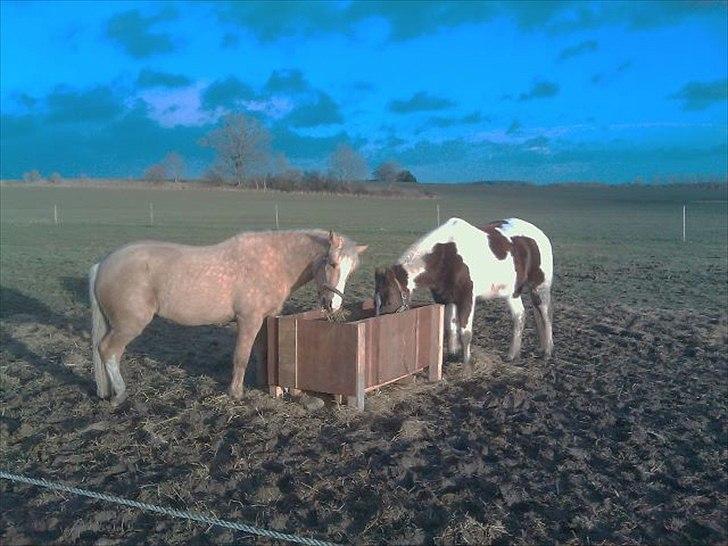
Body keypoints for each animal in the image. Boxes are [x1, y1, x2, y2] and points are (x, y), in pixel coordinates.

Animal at [88, 228, 366, 404]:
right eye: (332, 263)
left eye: (351, 271)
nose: (333, 305)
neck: (273, 261)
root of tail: (102, 265)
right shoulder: (248, 320)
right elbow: (241, 357)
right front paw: (236, 393)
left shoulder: (264, 319)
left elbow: (264, 353)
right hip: (128, 325)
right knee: (108, 351)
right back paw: (120, 393)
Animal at [376, 217, 552, 366]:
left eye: (389, 301)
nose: (382, 329)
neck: (446, 256)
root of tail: (539, 234)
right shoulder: (446, 299)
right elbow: (450, 329)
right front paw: (452, 356)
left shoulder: (467, 298)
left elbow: (465, 332)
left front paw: (466, 362)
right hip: (512, 294)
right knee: (520, 317)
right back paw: (513, 355)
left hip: (539, 288)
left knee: (545, 316)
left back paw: (547, 352)